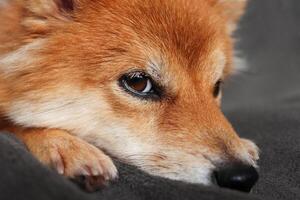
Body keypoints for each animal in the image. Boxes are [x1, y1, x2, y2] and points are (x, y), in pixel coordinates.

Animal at [0, 0, 258, 192]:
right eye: (138, 83)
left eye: (216, 86)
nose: (242, 176)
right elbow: (16, 125)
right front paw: (67, 147)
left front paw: (244, 145)